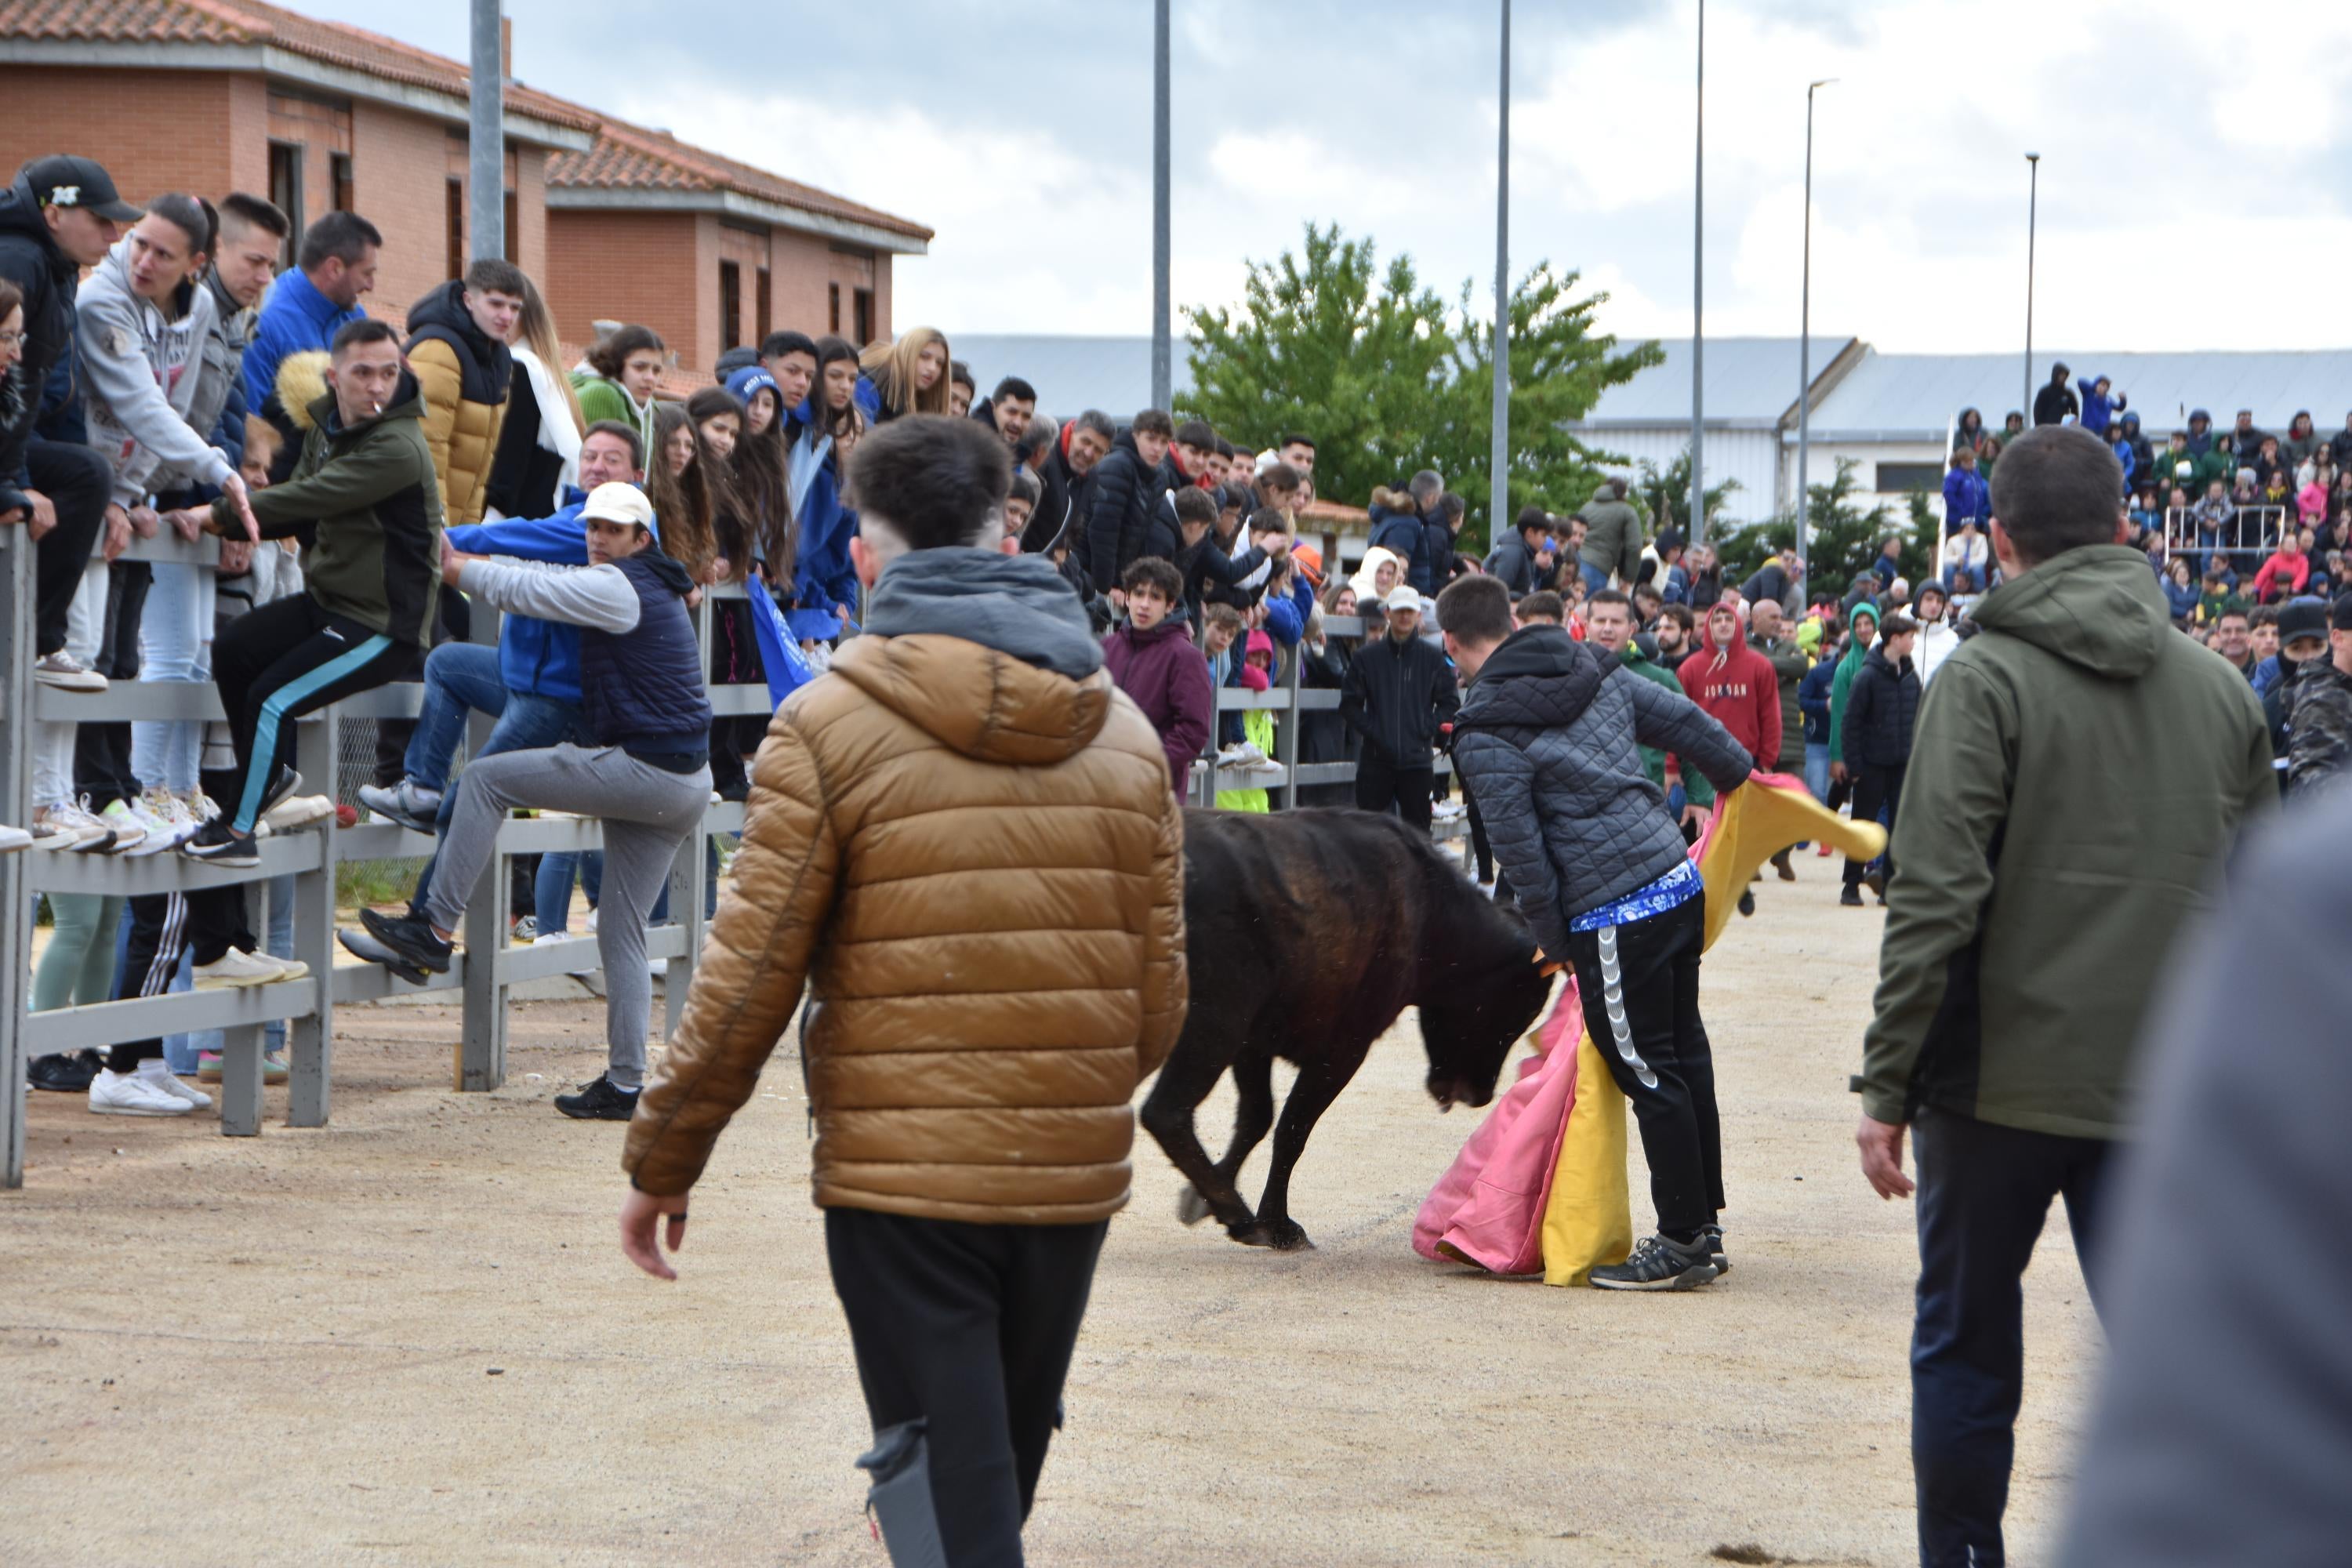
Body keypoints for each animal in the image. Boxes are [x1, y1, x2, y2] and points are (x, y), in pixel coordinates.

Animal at [1134, 808, 1552, 1250]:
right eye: (1513, 1017)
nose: (1482, 1095)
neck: (1429, 910)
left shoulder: (1254, 1041)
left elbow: (1257, 1117)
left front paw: (1200, 1198)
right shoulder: (1343, 1047)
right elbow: (1292, 1129)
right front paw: (1278, 1225)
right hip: (1212, 1023)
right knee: (1167, 1113)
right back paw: (1242, 1218)